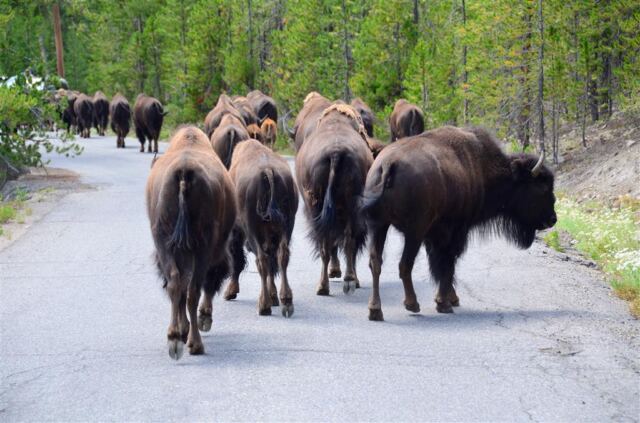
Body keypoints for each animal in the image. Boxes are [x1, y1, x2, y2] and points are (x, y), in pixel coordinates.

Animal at [146, 126, 236, 359]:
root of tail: (184, 172)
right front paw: (203, 320)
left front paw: (182, 330)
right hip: (202, 247)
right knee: (193, 289)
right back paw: (195, 344)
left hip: (165, 243)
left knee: (176, 284)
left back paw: (174, 339)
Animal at [225, 139, 298, 317]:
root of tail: (268, 170)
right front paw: (274, 297)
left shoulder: (237, 232)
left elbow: (237, 260)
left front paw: (230, 292)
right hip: (287, 226)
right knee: (281, 256)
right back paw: (286, 301)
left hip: (253, 230)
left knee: (262, 260)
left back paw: (264, 306)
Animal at [295, 103, 374, 295]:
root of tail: (336, 152)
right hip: (349, 208)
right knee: (346, 241)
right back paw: (347, 280)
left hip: (318, 207)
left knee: (328, 243)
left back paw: (324, 286)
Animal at [361, 126, 556, 321]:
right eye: (542, 188)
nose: (553, 219)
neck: (482, 168)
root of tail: (388, 164)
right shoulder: (455, 231)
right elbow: (447, 264)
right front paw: (444, 303)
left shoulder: (434, 235)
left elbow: (441, 265)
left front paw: (450, 299)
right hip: (413, 232)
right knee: (405, 264)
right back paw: (412, 304)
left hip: (378, 225)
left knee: (376, 263)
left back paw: (375, 310)